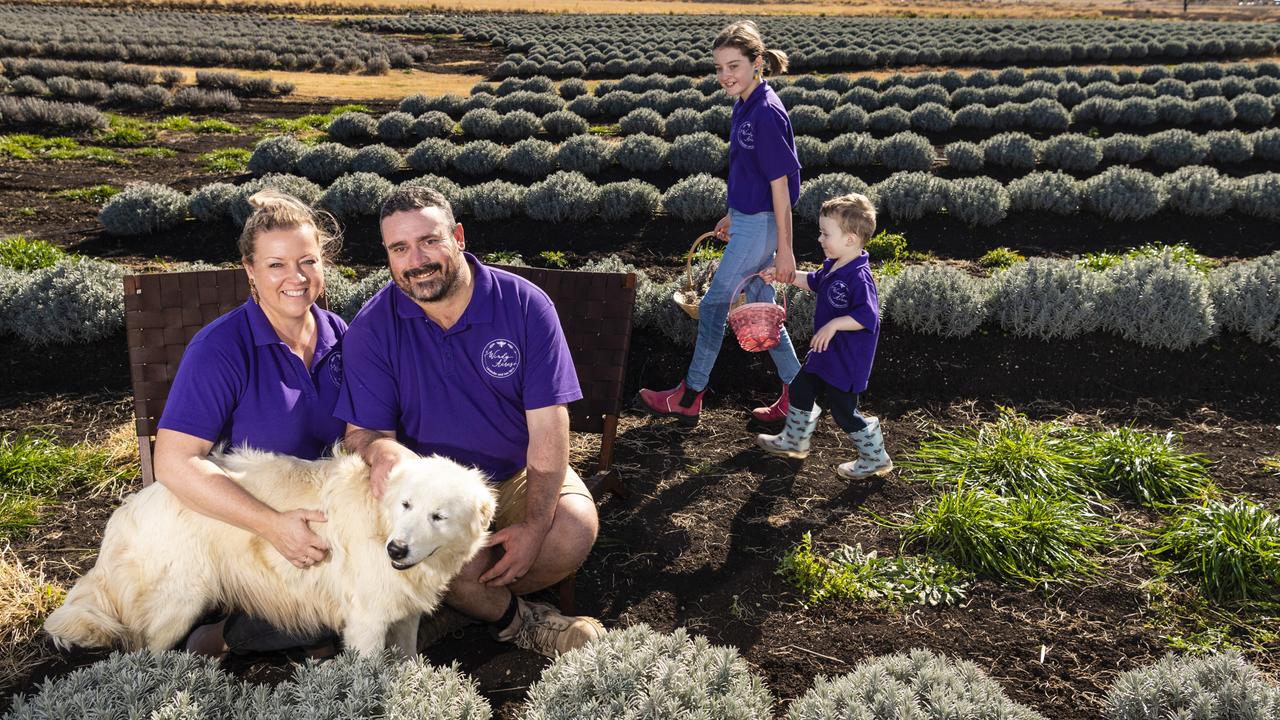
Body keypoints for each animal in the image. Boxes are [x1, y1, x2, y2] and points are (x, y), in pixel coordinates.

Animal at [43, 448, 494, 655]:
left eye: (438, 516)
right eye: (406, 505)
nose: (396, 550)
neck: (379, 519)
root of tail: (125, 512)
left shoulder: (404, 616)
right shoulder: (366, 622)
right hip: (177, 608)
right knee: (143, 652)